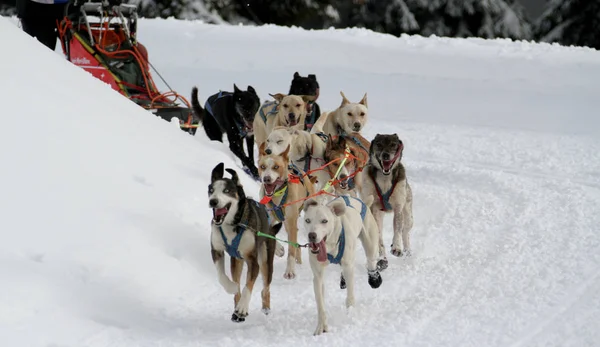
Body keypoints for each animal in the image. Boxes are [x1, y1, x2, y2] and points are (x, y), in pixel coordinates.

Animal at [207, 163, 282, 324]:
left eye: (227, 191)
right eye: (211, 190)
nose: (213, 201)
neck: (232, 224)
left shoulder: (253, 261)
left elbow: (249, 285)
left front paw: (242, 308)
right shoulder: (216, 250)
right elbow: (221, 276)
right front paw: (231, 288)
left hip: (265, 261)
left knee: (265, 288)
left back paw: (264, 307)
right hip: (236, 262)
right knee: (238, 283)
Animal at [302, 194, 382, 336]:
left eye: (324, 221)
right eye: (308, 220)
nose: (311, 235)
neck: (330, 247)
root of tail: (364, 203)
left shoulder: (349, 267)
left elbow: (350, 297)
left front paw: (350, 314)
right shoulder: (318, 276)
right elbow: (320, 304)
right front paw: (321, 326)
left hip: (370, 246)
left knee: (371, 262)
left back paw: (374, 279)